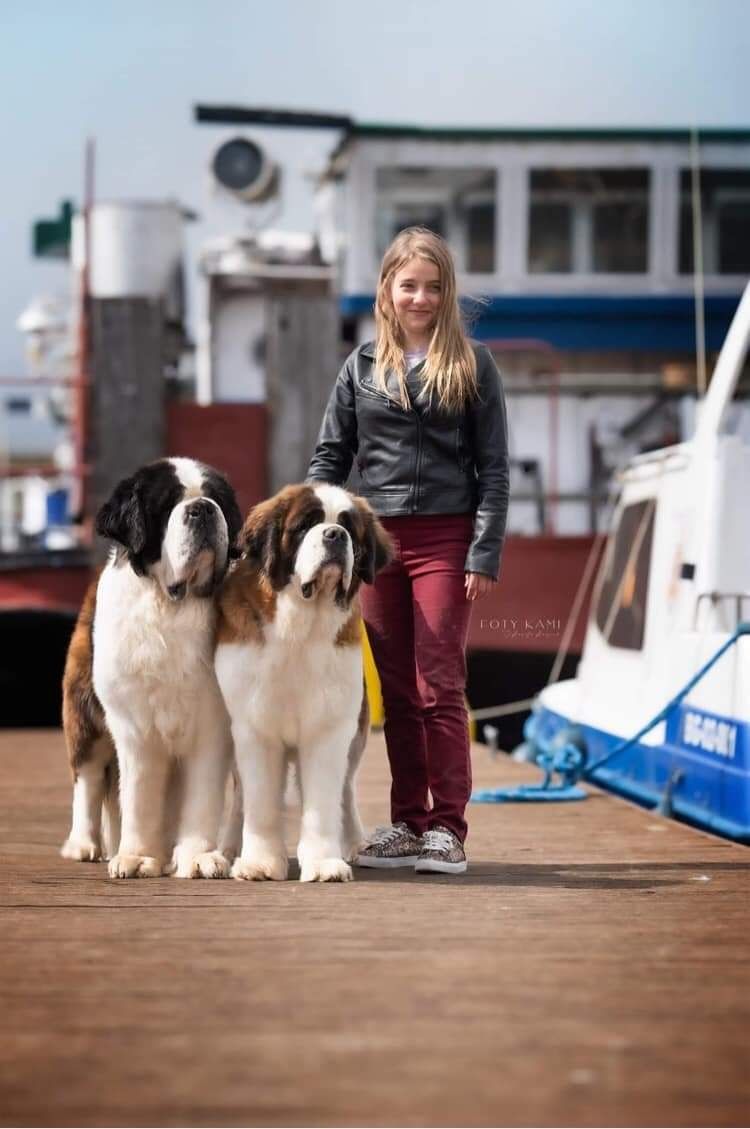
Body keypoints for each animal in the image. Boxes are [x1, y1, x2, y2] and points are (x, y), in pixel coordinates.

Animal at [63, 453, 242, 876]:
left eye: (216, 499)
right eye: (167, 504)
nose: (201, 509)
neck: (173, 604)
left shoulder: (213, 725)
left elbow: (202, 795)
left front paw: (197, 856)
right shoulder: (134, 727)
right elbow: (139, 796)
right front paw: (138, 856)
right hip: (85, 712)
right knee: (88, 778)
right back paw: (84, 844)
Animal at [213, 483, 393, 880]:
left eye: (349, 527)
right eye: (305, 525)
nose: (334, 535)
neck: (299, 625)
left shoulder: (330, 731)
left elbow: (324, 803)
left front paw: (325, 862)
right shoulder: (254, 727)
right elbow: (260, 802)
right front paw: (261, 862)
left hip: (355, 737)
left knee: (346, 791)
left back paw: (354, 843)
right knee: (240, 799)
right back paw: (229, 847)